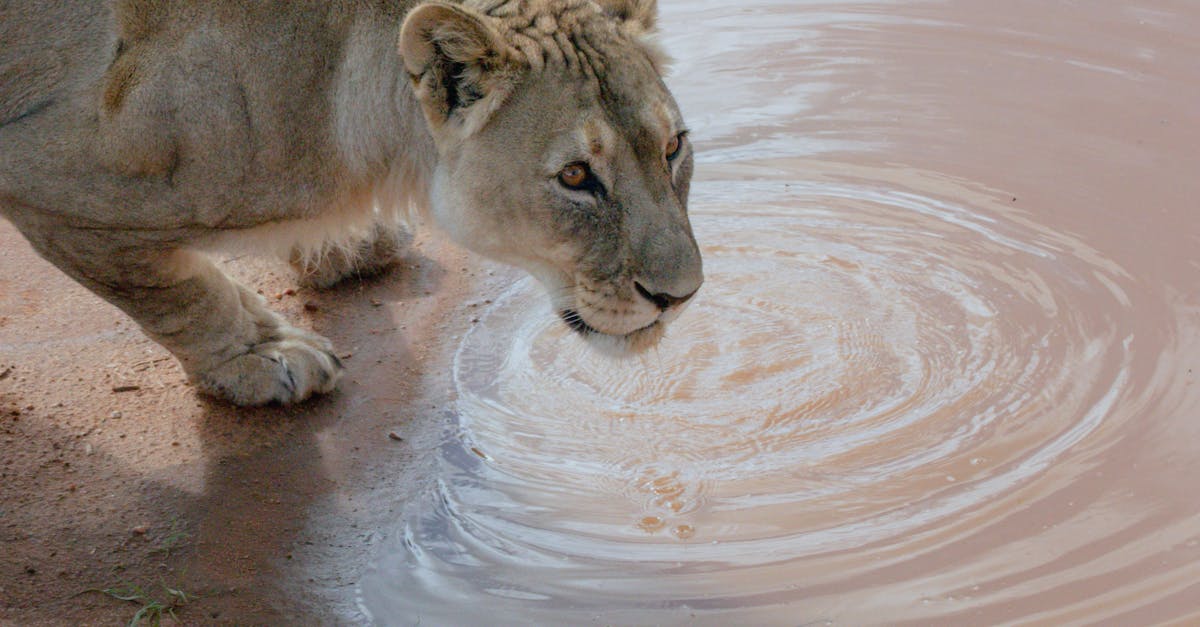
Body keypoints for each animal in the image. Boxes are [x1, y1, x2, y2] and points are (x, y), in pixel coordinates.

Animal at [0, 0, 703, 406]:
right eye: (577, 176)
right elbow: (178, 291)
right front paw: (259, 357)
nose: (681, 297)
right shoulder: (52, 179)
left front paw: (349, 247)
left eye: (673, 147)